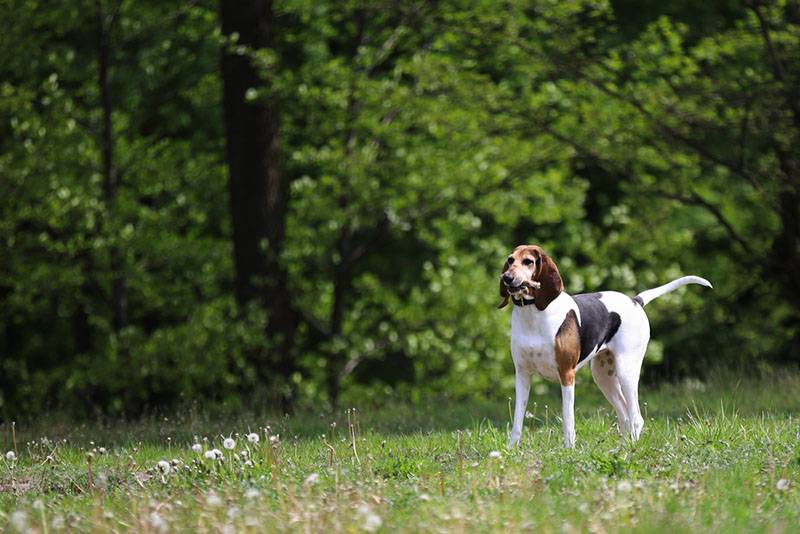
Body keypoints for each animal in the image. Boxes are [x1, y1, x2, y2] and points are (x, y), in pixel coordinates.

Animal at [500, 246, 712, 448]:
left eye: (528, 261)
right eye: (510, 260)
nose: (507, 277)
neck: (532, 314)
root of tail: (635, 301)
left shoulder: (567, 375)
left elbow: (568, 422)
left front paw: (568, 450)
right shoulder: (522, 375)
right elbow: (517, 422)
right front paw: (512, 450)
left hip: (626, 372)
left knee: (636, 418)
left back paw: (630, 449)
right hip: (604, 377)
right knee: (625, 416)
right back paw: (621, 449)